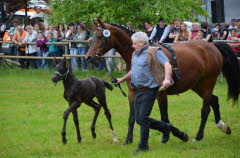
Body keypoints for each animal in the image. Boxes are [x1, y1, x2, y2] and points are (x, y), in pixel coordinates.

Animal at [86, 19, 240, 144]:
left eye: (99, 36)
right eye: (92, 37)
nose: (88, 57)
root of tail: (212, 46)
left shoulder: (161, 93)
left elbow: (164, 116)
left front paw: (173, 135)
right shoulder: (133, 93)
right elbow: (132, 117)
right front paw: (128, 140)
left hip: (207, 83)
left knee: (205, 109)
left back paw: (199, 136)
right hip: (197, 85)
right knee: (214, 100)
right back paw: (223, 127)